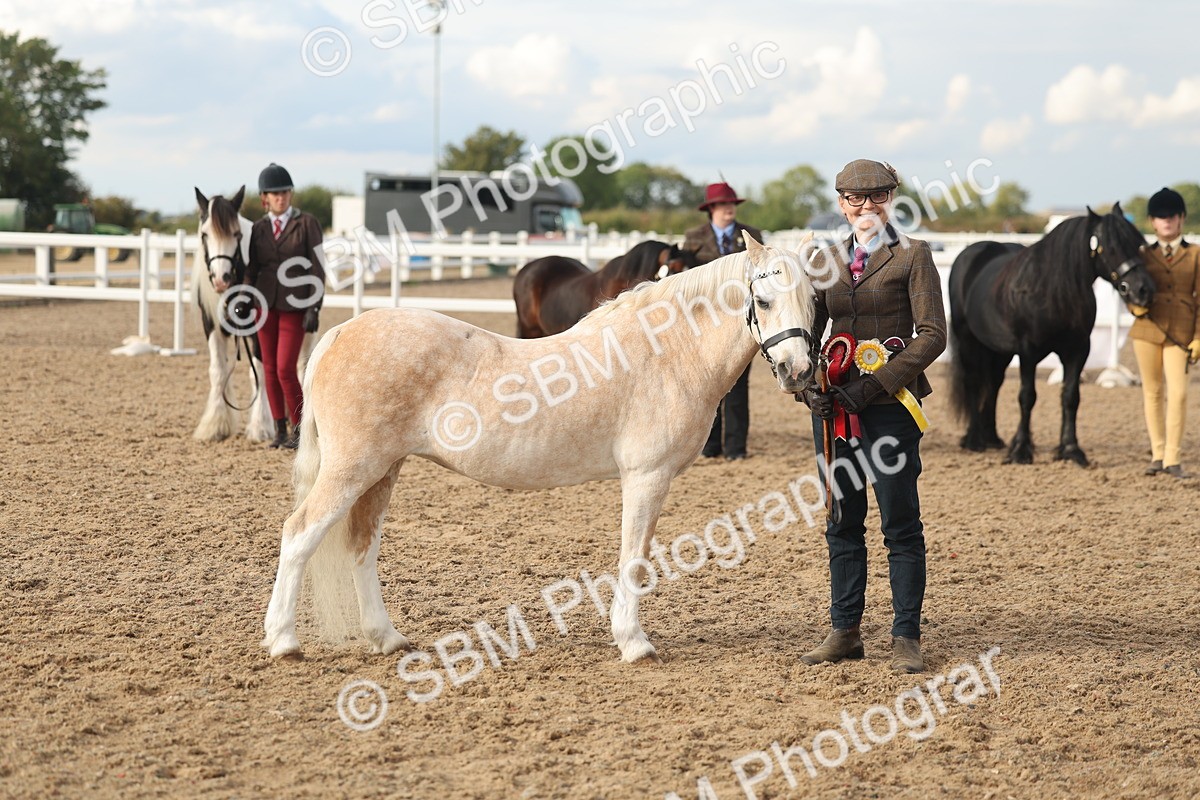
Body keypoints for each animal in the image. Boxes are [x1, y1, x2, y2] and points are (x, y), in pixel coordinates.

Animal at [190, 187, 275, 443]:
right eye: (204, 234)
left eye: (237, 235)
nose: (221, 279)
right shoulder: (211, 326)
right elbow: (218, 371)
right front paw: (215, 425)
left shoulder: (258, 330)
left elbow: (259, 372)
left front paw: (260, 426)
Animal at [948, 203, 1155, 466]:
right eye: (1111, 247)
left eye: (1138, 243)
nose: (1143, 290)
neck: (1051, 291)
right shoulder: (1028, 352)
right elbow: (1027, 397)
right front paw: (1021, 450)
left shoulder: (1078, 351)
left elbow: (1070, 396)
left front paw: (1071, 449)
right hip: (968, 340)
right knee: (973, 382)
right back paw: (974, 440)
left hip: (999, 350)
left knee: (994, 384)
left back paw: (992, 438)